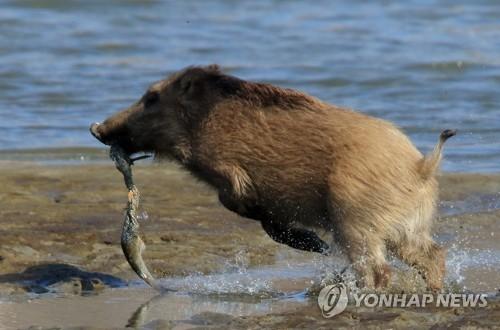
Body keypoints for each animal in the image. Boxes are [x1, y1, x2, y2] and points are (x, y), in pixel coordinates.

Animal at [90, 65, 454, 292]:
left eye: (151, 97)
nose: (96, 128)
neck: (200, 126)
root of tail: (421, 165)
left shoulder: (230, 172)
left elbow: (239, 203)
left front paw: (314, 243)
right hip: (405, 228)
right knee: (433, 254)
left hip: (355, 221)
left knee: (378, 269)